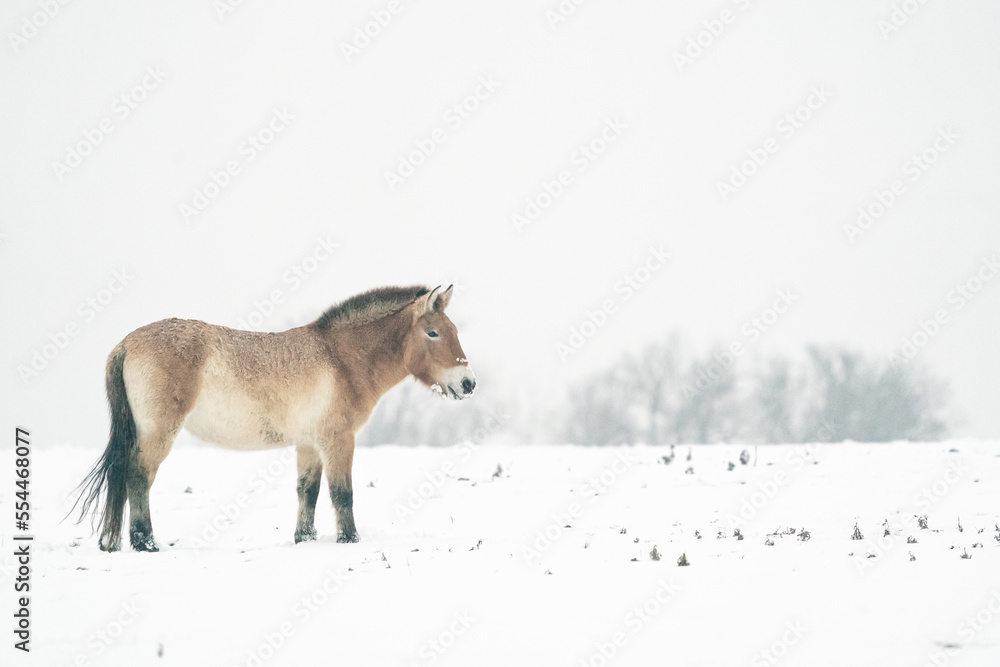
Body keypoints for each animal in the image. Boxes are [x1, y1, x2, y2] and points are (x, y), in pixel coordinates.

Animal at [73, 284, 475, 552]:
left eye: (455, 331)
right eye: (433, 333)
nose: (469, 383)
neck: (341, 359)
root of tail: (125, 344)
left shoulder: (310, 444)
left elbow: (308, 492)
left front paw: (305, 539)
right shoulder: (339, 440)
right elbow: (342, 493)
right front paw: (350, 540)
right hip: (158, 432)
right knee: (139, 476)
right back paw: (146, 543)